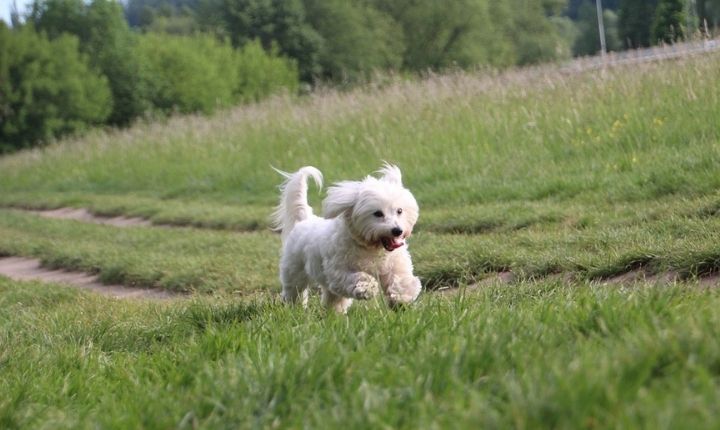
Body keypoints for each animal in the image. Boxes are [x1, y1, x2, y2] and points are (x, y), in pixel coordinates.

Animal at [272, 165, 424, 312]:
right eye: (377, 213)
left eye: (399, 211)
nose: (397, 231)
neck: (371, 247)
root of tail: (305, 219)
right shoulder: (338, 271)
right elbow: (357, 277)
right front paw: (368, 288)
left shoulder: (394, 265)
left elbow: (400, 280)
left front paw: (402, 300)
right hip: (294, 271)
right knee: (295, 291)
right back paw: (295, 309)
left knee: (332, 297)